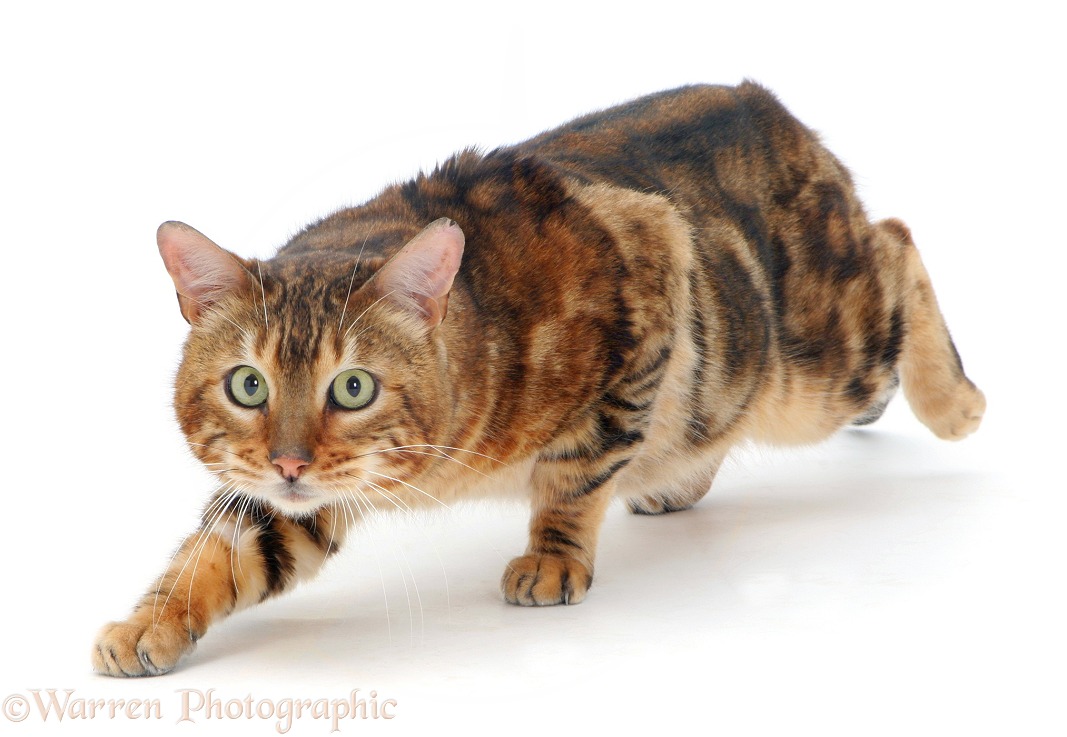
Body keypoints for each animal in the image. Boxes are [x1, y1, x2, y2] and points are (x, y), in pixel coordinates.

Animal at [89, 83, 981, 678]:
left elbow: (574, 474)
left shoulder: (648, 285)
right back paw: (675, 478)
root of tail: (772, 109)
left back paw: (955, 400)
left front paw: (552, 557)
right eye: (248, 386)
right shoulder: (295, 496)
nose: (289, 460)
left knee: (896, 242)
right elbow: (217, 553)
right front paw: (148, 621)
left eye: (352, 388)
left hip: (819, 362)